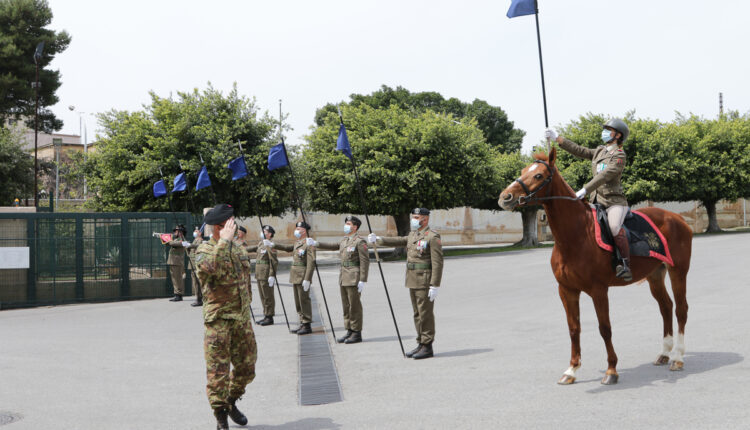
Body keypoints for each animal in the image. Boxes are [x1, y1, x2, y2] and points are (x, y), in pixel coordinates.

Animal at [500, 148, 692, 386]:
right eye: (523, 171)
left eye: (538, 175)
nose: (505, 197)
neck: (577, 235)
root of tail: (678, 219)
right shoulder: (567, 290)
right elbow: (574, 329)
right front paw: (572, 369)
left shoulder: (599, 290)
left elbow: (605, 328)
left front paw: (611, 370)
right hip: (655, 275)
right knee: (666, 307)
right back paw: (665, 353)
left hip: (678, 272)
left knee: (681, 309)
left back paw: (678, 357)